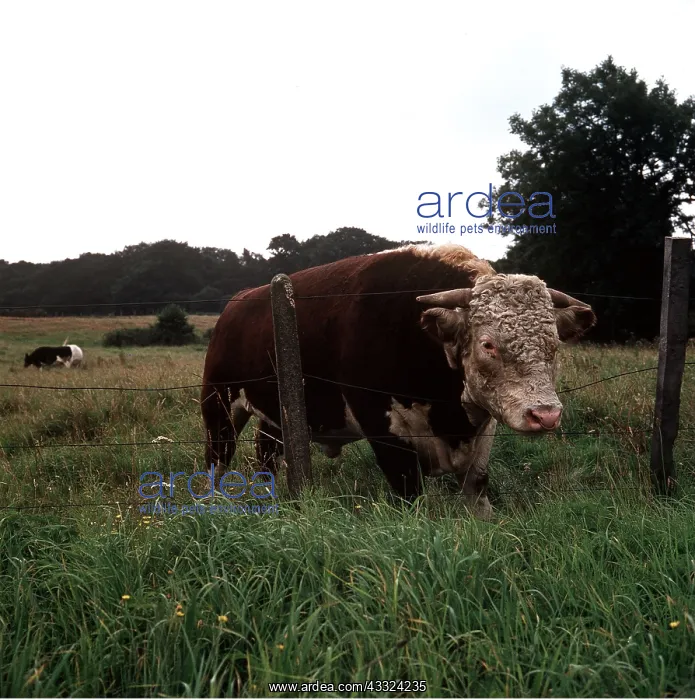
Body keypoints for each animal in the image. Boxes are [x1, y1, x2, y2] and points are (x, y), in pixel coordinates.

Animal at [201, 243, 596, 517]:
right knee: (218, 455)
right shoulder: (382, 426)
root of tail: (236, 303)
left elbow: (478, 487)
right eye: (488, 344)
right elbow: (408, 491)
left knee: (266, 453)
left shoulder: (482, 430)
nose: (545, 415)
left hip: (274, 414)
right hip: (218, 403)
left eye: (554, 344)